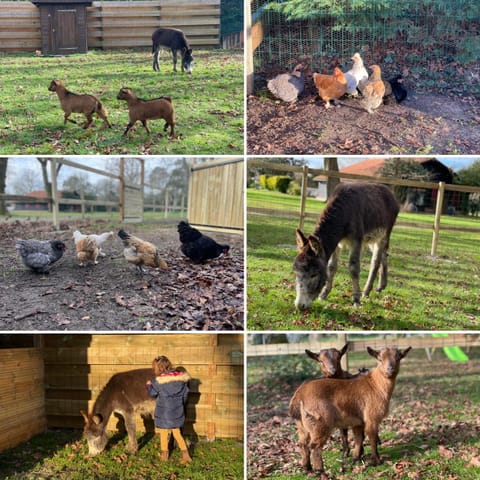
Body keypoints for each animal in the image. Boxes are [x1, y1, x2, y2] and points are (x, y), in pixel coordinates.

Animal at [290, 346, 410, 474]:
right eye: (380, 359)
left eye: (398, 358)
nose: (390, 369)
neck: (375, 385)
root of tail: (299, 396)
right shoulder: (371, 417)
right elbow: (372, 438)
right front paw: (377, 461)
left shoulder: (358, 421)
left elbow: (358, 439)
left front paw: (355, 459)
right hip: (320, 422)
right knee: (315, 446)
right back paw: (319, 471)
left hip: (302, 425)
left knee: (303, 444)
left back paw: (307, 468)